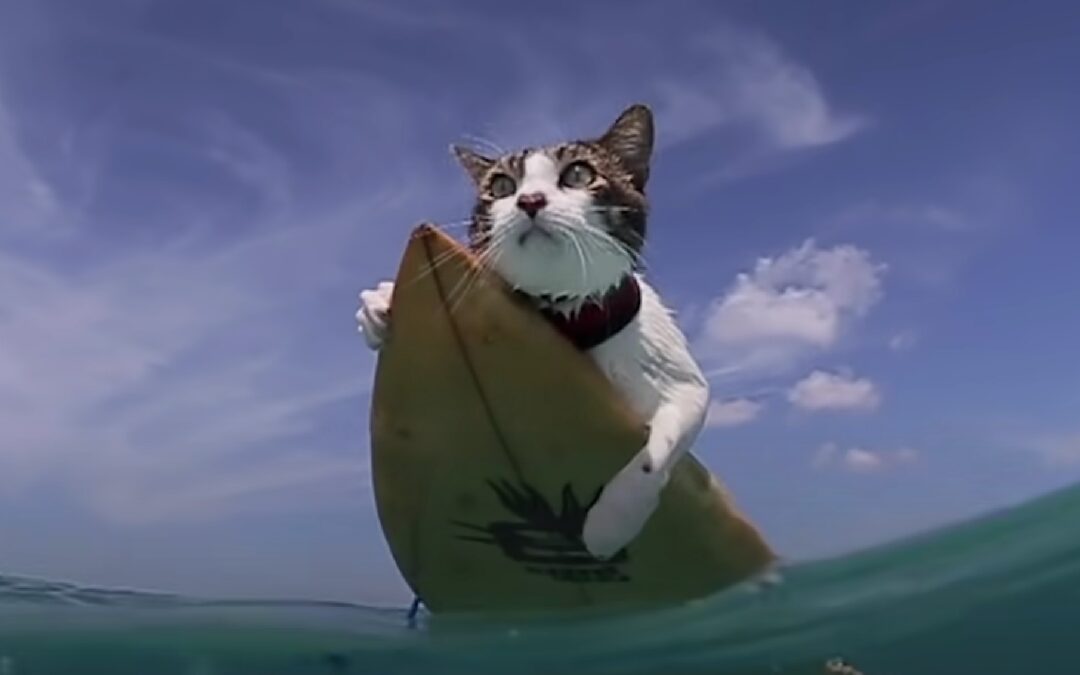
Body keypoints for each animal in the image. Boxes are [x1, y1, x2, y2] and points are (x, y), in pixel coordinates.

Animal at [354, 104, 708, 557]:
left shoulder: (681, 380)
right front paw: (380, 304)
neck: (566, 317)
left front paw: (612, 522)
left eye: (578, 174)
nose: (529, 200)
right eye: (502, 185)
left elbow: (660, 444)